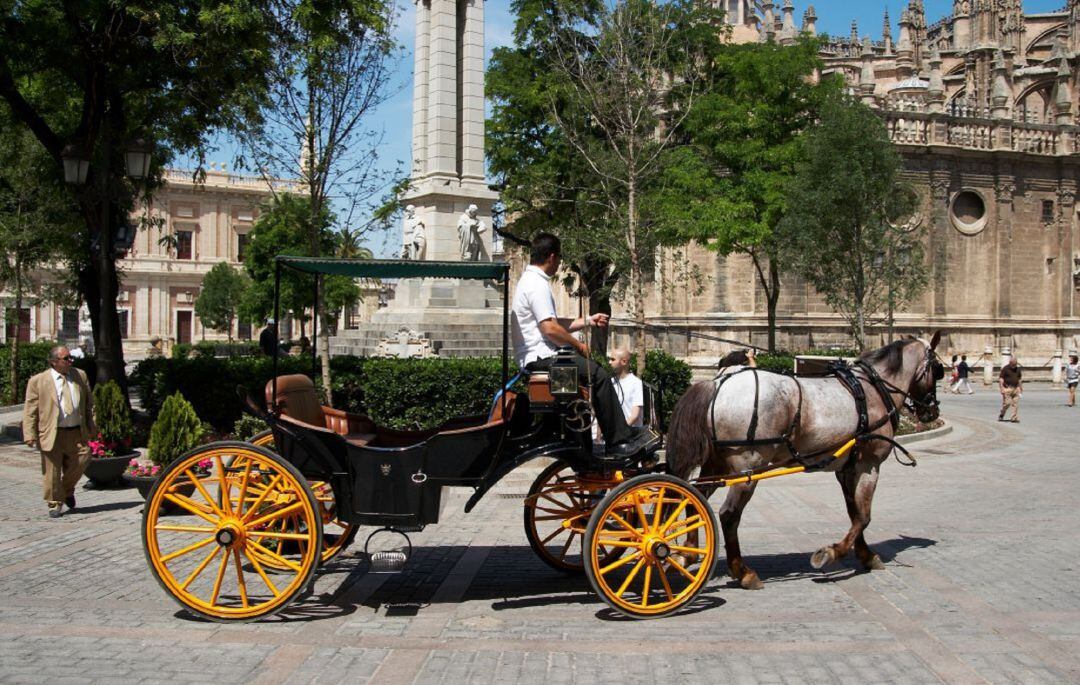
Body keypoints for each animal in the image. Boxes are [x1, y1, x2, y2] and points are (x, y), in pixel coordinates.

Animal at [665, 330, 946, 587]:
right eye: (938, 370)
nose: (931, 410)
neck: (872, 390)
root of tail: (717, 384)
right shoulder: (869, 465)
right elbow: (864, 516)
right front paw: (831, 553)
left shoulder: (847, 468)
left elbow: (854, 512)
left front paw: (864, 554)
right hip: (748, 469)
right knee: (728, 515)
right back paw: (743, 572)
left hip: (717, 464)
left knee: (693, 499)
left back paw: (687, 554)